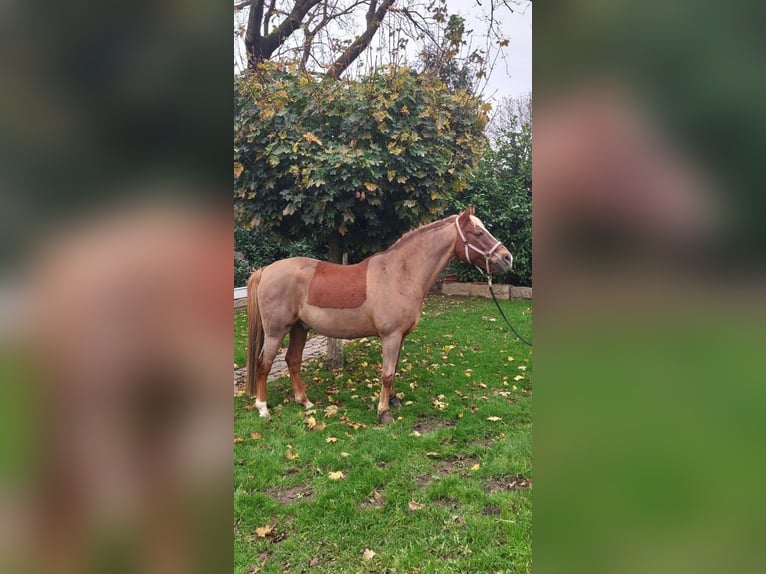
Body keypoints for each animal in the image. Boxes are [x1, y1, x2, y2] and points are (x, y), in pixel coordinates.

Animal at [246, 207, 512, 424]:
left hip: (299, 328)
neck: (401, 273)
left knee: (292, 361)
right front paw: (384, 412)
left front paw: (393, 400)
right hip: (276, 331)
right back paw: (263, 408)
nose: (507, 258)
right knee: (264, 364)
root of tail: (266, 270)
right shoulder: (390, 336)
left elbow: (394, 370)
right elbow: (386, 374)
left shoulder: (400, 337)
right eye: (478, 233)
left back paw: (305, 402)